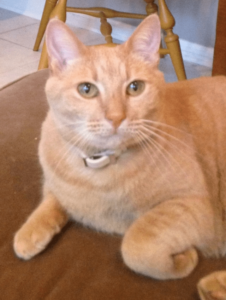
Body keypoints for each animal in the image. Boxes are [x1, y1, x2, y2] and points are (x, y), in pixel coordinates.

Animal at [13, 13, 226, 298]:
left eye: (135, 88)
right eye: (87, 90)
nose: (116, 117)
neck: (99, 165)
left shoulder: (191, 203)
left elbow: (135, 243)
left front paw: (184, 259)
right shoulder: (55, 183)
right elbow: (50, 200)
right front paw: (29, 234)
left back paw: (212, 285)